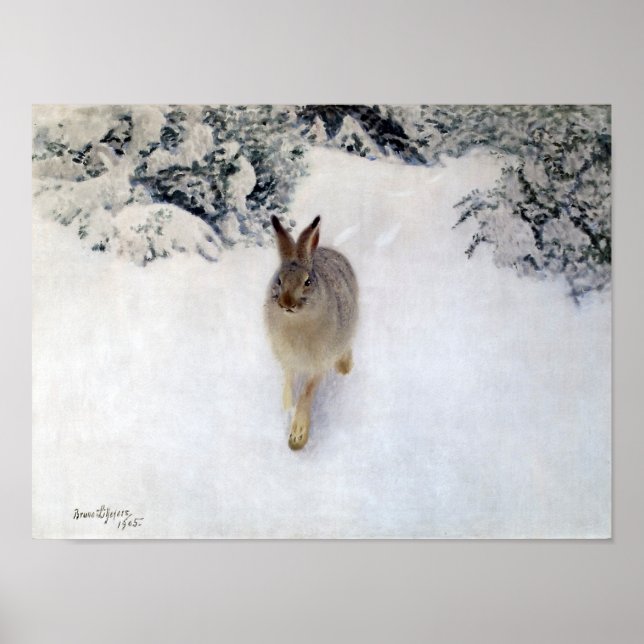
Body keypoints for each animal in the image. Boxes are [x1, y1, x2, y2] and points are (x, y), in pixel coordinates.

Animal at [264, 215, 358, 450]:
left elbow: (307, 393)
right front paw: (286, 409)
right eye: (279, 280)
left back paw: (345, 368)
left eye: (307, 282)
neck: (297, 323)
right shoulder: (288, 360)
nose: (287, 303)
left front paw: (298, 435)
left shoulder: (320, 363)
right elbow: (288, 384)